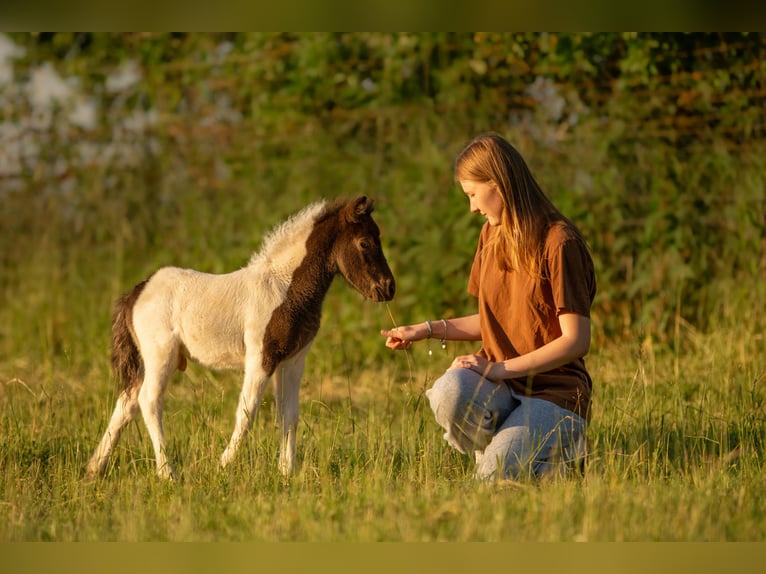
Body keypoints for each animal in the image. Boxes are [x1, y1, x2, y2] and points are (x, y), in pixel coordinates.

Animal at [87, 198, 396, 482]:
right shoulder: (261, 357)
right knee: (148, 401)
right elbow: (246, 413)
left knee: (127, 403)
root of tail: (137, 292)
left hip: (147, 360)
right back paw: (168, 473)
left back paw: (94, 468)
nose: (387, 288)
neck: (284, 288)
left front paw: (287, 472)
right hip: (160, 355)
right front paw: (222, 466)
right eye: (365, 243)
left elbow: (289, 415)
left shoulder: (293, 361)